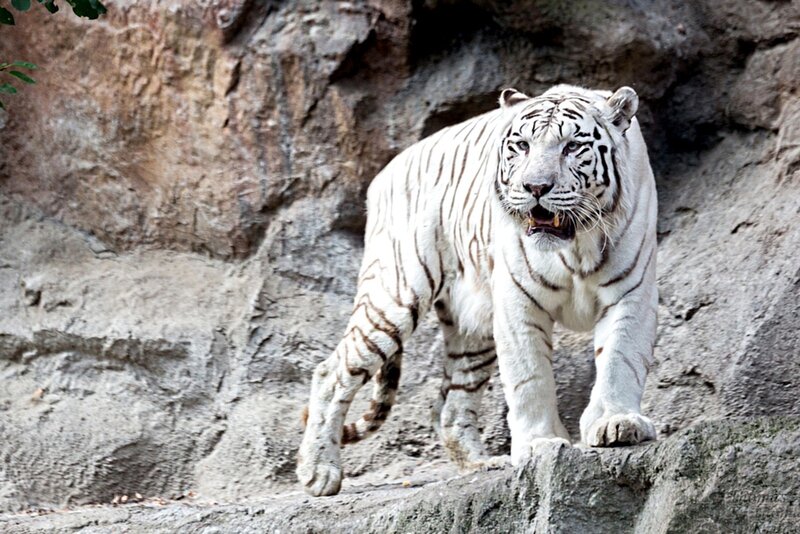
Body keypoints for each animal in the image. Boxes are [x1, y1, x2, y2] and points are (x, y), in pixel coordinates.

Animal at [296, 84, 658, 497]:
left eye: (571, 146)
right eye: (522, 146)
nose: (536, 187)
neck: (575, 244)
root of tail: (386, 171)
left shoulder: (631, 292)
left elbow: (619, 359)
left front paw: (617, 423)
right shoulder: (518, 301)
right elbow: (529, 378)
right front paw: (539, 444)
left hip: (472, 327)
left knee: (451, 405)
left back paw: (480, 464)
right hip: (395, 294)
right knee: (332, 372)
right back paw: (318, 472)